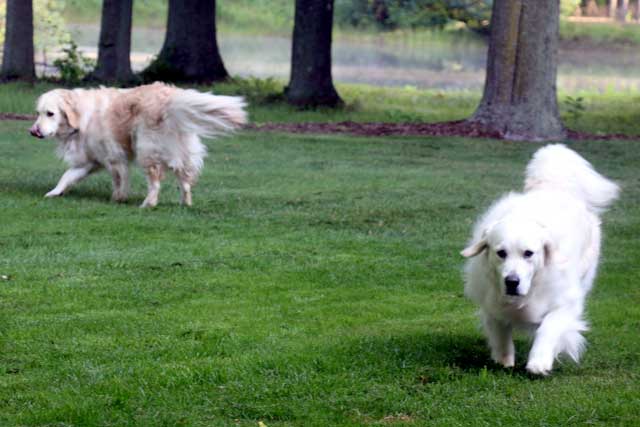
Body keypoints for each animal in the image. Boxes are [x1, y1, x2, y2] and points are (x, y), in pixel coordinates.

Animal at [29, 82, 248, 207]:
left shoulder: (114, 158)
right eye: (38, 113)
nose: (33, 131)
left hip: (147, 151)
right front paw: (55, 192)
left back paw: (148, 204)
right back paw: (185, 204)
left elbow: (119, 180)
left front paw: (118, 198)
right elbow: (66, 176)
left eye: (50, 113)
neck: (83, 116)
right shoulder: (89, 162)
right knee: (185, 181)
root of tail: (170, 98)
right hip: (180, 153)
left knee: (155, 183)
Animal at [462, 145, 616, 376]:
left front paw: (539, 361)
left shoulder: (565, 303)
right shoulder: (491, 303)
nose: (512, 282)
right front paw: (504, 359)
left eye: (529, 253)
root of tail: (554, 186)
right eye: (501, 253)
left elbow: (548, 327)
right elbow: (500, 331)